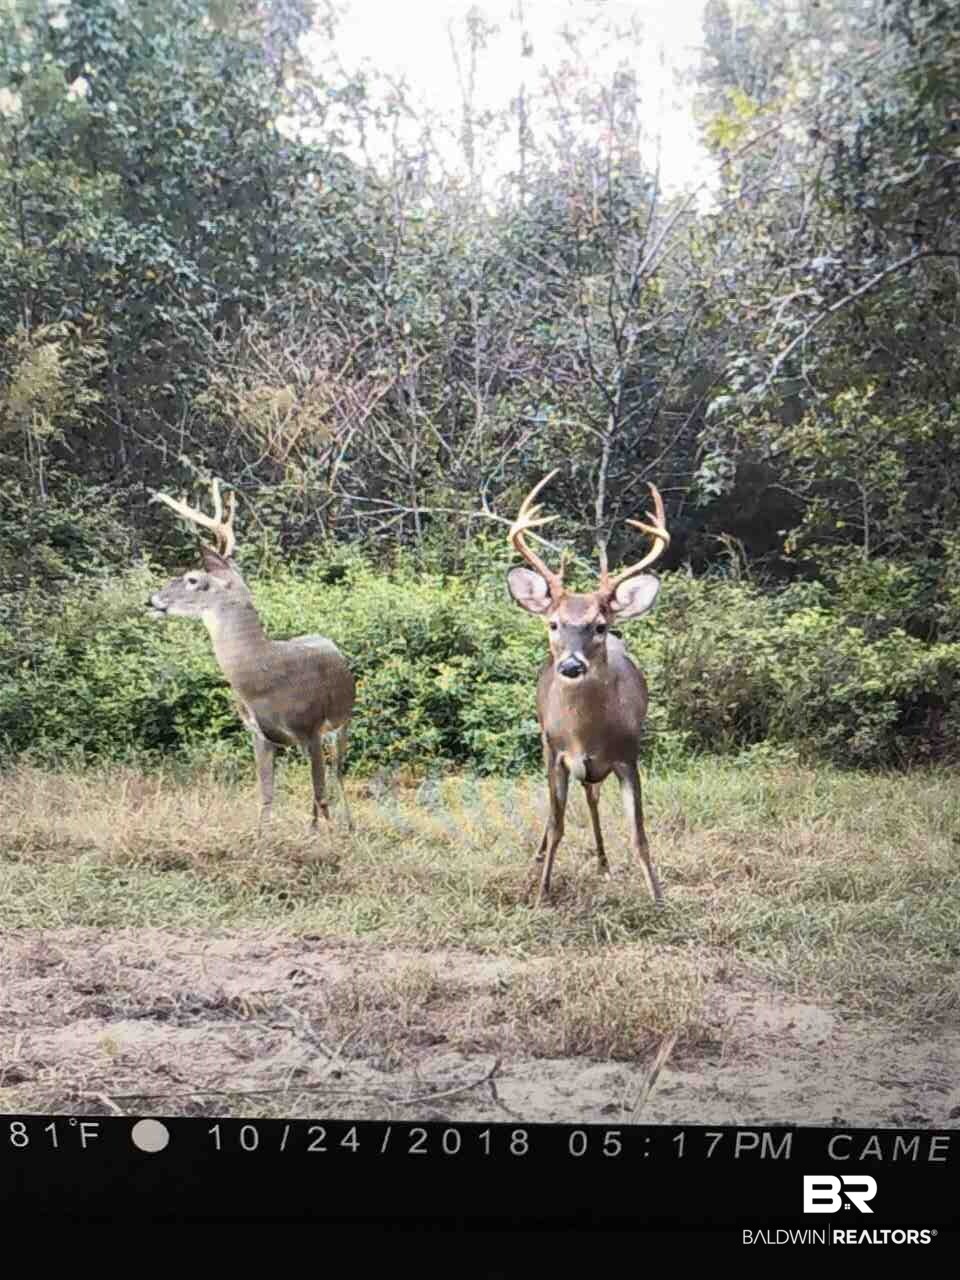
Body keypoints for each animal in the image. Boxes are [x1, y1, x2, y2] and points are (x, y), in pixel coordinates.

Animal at [147, 478, 355, 836]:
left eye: (192, 579)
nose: (152, 599)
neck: (263, 675)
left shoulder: (311, 727)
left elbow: (320, 792)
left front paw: (328, 838)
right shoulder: (260, 735)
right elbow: (267, 794)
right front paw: (262, 837)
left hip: (342, 722)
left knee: (337, 775)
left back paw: (349, 824)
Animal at [505, 468, 670, 908]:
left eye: (600, 625)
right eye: (553, 623)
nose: (571, 665)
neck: (586, 734)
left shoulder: (628, 757)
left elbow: (640, 835)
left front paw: (657, 897)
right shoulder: (558, 753)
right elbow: (557, 825)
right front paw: (541, 893)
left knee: (592, 797)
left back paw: (603, 863)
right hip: (544, 744)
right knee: (556, 813)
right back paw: (538, 859)